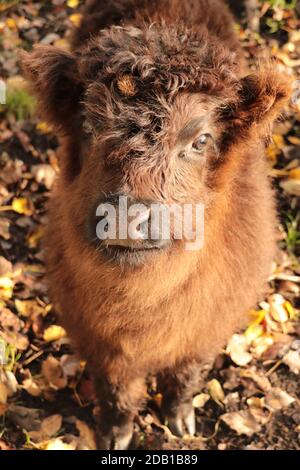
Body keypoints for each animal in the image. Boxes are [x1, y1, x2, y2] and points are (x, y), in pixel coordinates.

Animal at [22, 0, 290, 448]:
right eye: (89, 127)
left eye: (200, 140)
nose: (127, 218)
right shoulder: (98, 340)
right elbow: (117, 391)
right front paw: (115, 436)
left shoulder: (205, 332)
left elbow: (184, 378)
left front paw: (180, 423)